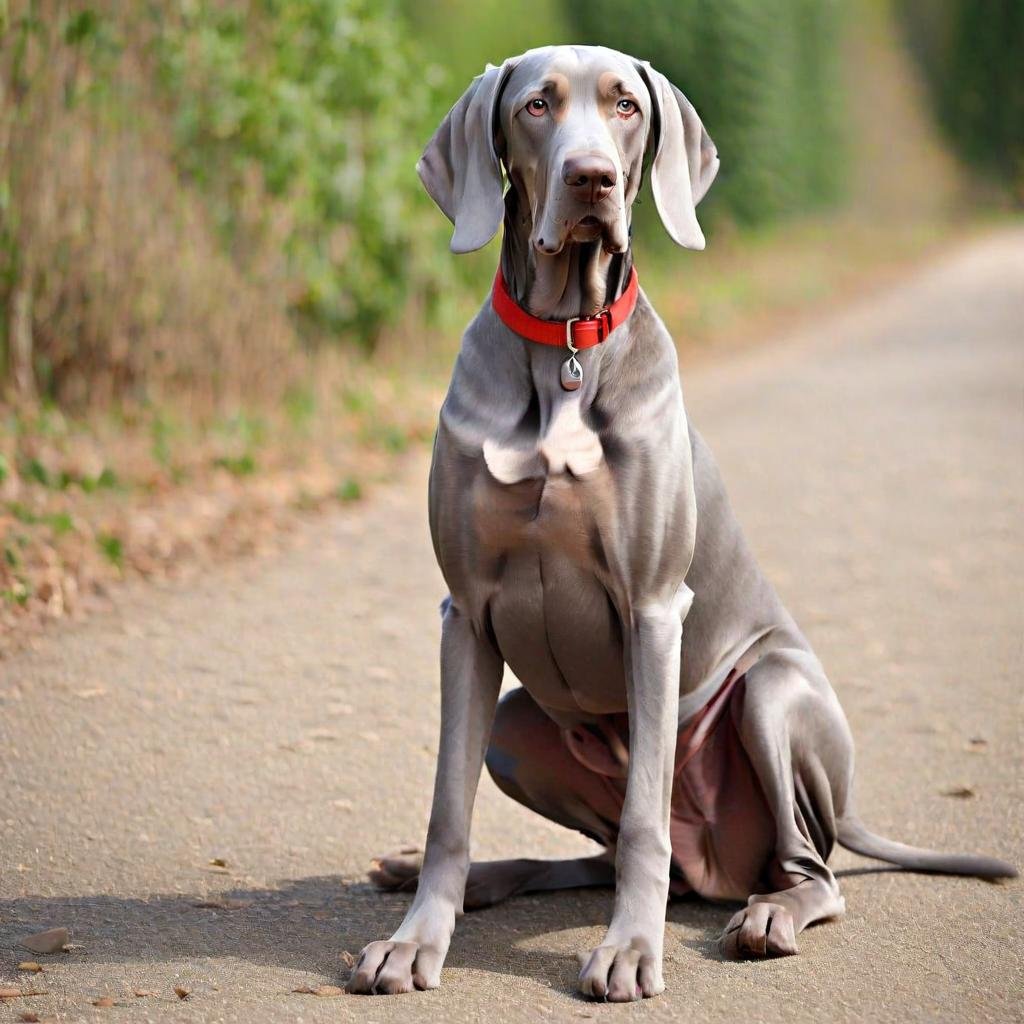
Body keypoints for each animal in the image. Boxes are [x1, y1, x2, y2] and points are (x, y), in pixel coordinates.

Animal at [346, 46, 1015, 999]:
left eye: (625, 105)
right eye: (537, 106)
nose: (591, 178)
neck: (567, 348)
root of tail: (723, 868)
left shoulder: (655, 609)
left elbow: (641, 824)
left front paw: (630, 950)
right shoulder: (465, 615)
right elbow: (450, 807)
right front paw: (414, 940)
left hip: (772, 694)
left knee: (809, 870)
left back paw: (767, 915)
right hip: (516, 725)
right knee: (594, 854)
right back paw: (470, 878)